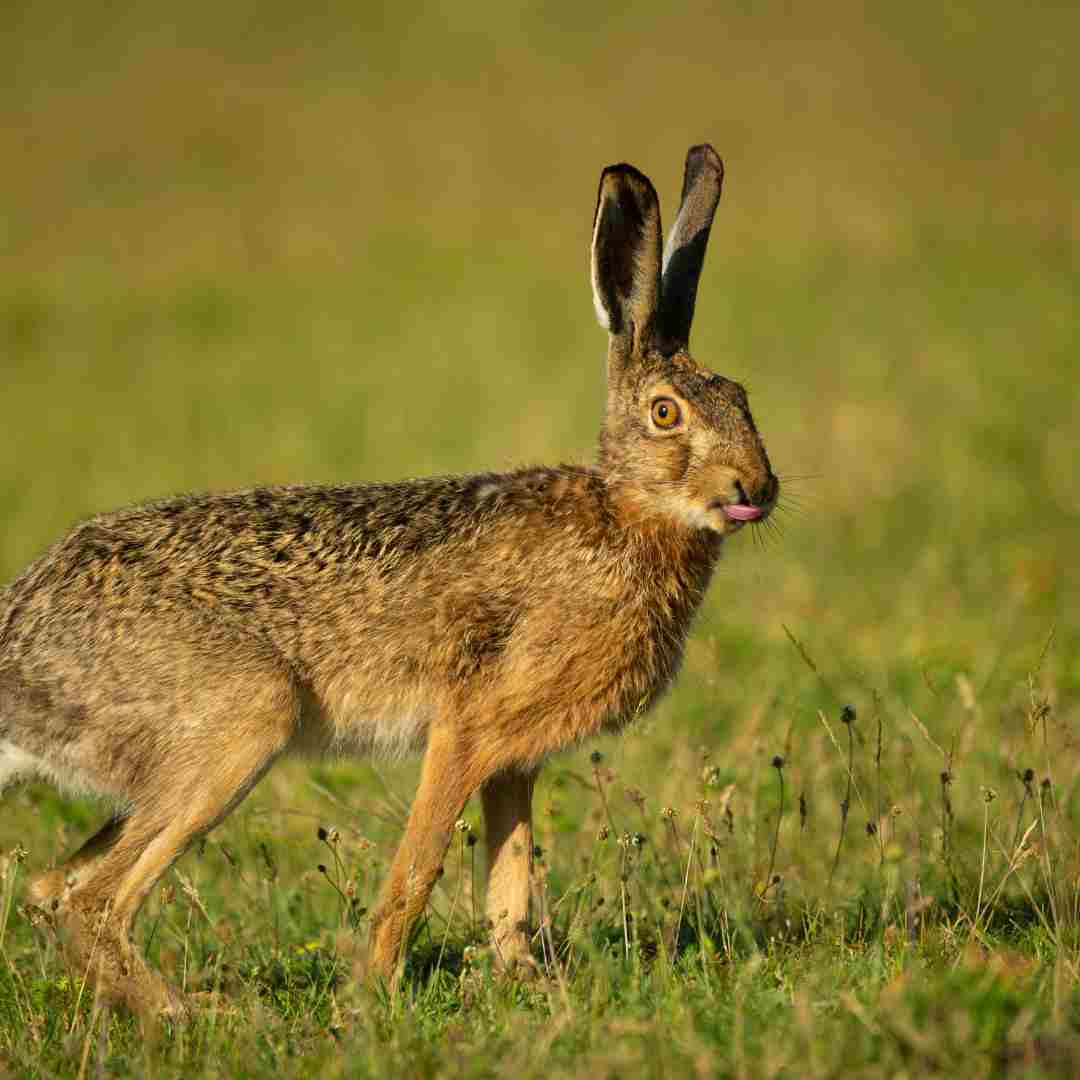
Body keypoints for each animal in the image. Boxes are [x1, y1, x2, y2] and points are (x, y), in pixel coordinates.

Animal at [0, 144, 777, 1017]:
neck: (628, 511)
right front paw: (373, 993)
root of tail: (17, 652)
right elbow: (419, 867)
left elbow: (510, 874)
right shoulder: (468, 728)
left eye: (743, 399)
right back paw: (200, 1013)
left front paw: (522, 980)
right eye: (666, 413)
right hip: (238, 722)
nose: (756, 486)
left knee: (51, 888)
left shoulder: (513, 759)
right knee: (92, 902)